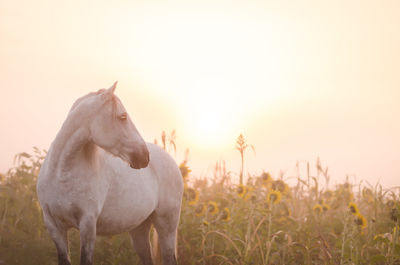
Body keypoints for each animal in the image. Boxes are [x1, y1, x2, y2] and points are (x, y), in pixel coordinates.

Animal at [36, 82, 184, 264]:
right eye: (123, 117)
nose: (144, 157)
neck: (61, 174)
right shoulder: (54, 227)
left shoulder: (87, 225)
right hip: (139, 229)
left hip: (167, 227)